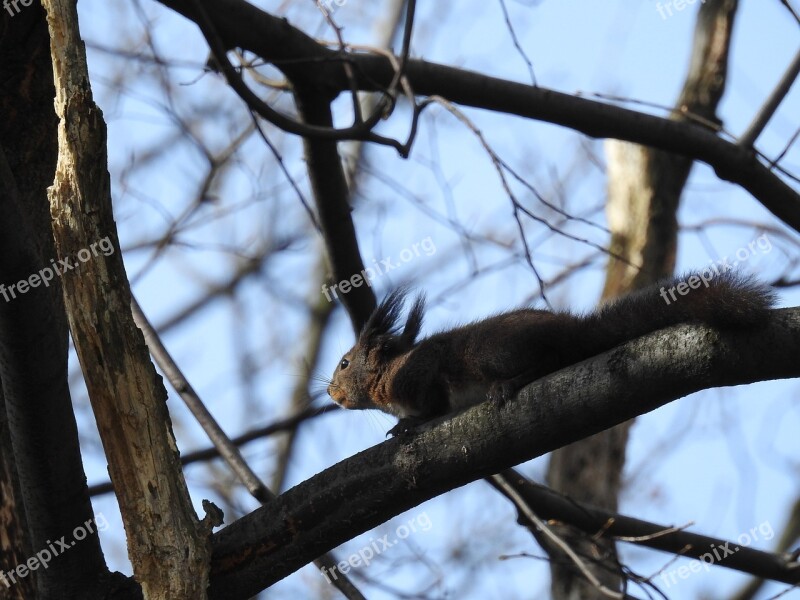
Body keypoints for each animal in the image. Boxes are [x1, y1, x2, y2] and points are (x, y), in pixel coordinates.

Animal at [326, 274, 776, 436]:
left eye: (345, 363)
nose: (329, 392)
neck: (388, 377)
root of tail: (573, 331)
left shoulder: (423, 373)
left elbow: (433, 405)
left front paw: (409, 424)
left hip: (492, 353)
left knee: (547, 362)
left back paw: (510, 384)